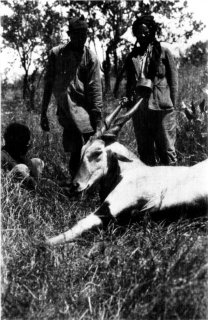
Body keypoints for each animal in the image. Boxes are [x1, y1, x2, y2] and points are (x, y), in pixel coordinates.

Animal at [46, 99, 208, 246]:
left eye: (97, 152)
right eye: (83, 149)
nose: (75, 185)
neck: (133, 170)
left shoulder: (113, 205)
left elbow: (81, 224)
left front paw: (45, 242)